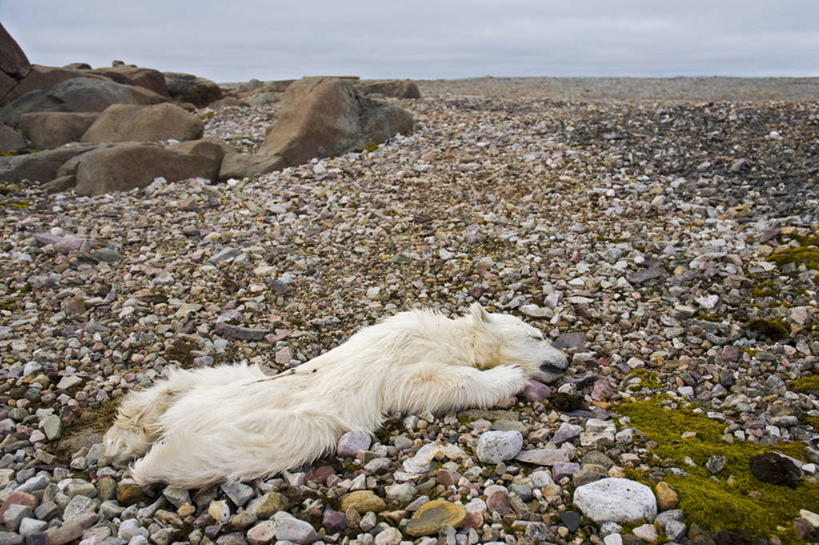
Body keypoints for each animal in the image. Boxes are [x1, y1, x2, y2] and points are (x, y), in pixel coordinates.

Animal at [104, 304, 572, 486]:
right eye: (536, 335)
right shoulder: (402, 357)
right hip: (294, 418)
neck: (448, 335)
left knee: (185, 383)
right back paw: (150, 464)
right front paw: (508, 375)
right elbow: (428, 382)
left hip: (233, 382)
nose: (565, 360)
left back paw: (121, 439)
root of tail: (186, 416)